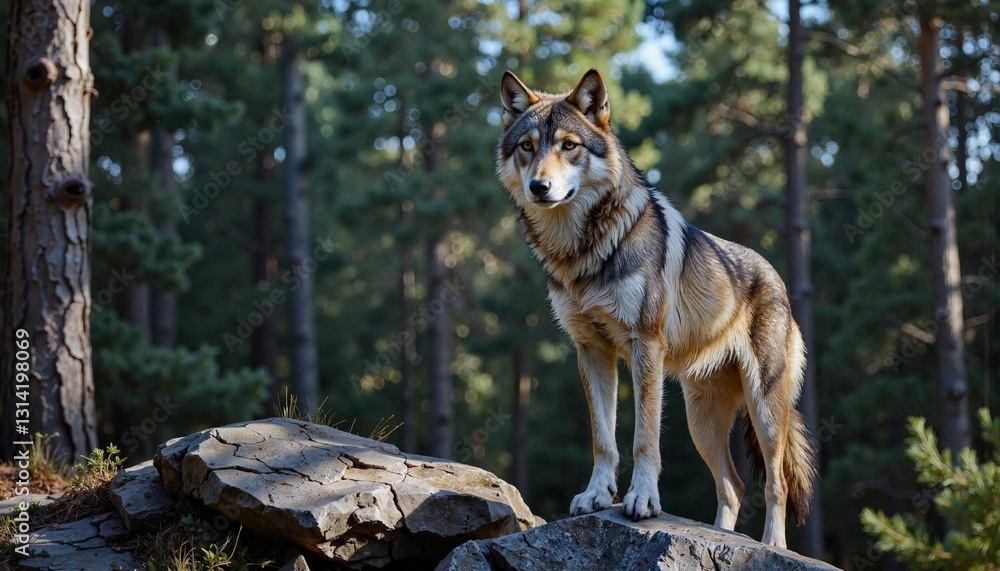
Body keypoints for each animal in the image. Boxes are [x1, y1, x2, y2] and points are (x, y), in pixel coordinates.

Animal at [496, 68, 817, 548]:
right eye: (527, 147)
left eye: (569, 145)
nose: (539, 187)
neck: (582, 252)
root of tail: (777, 279)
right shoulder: (591, 351)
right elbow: (603, 439)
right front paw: (596, 495)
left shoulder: (644, 347)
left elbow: (643, 438)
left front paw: (642, 501)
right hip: (700, 421)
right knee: (734, 486)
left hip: (764, 411)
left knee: (775, 484)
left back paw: (771, 546)